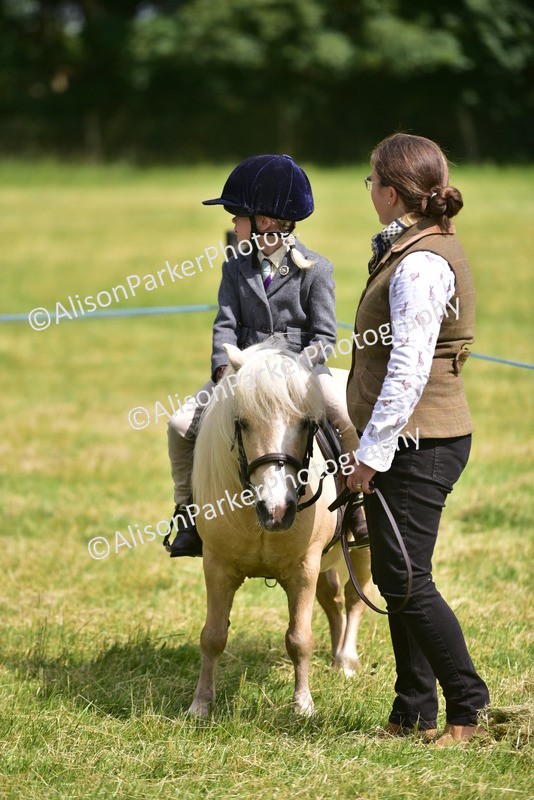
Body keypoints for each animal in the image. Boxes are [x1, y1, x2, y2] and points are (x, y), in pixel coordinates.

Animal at [188, 340, 372, 717]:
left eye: (306, 424)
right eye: (241, 422)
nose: (277, 510)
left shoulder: (303, 568)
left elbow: (299, 638)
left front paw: (303, 706)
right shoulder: (216, 565)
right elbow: (212, 636)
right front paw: (201, 703)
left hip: (362, 553)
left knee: (354, 598)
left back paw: (346, 660)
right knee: (332, 600)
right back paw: (336, 657)